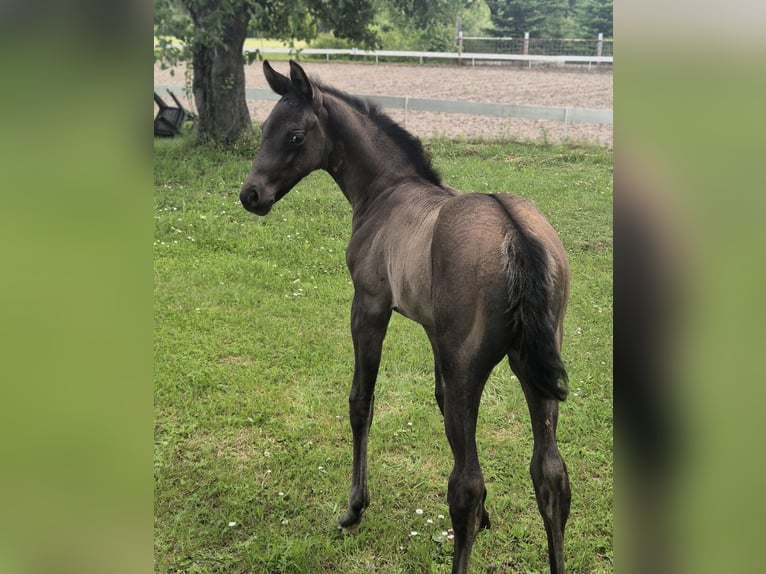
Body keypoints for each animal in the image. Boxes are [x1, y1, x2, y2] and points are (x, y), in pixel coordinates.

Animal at [240, 60, 571, 574]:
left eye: (294, 135)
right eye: (264, 131)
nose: (250, 195)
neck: (386, 192)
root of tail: (515, 234)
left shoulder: (369, 306)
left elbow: (361, 401)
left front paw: (354, 508)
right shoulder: (435, 334)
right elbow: (441, 405)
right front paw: (490, 517)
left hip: (470, 366)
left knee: (466, 485)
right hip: (533, 367)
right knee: (550, 474)